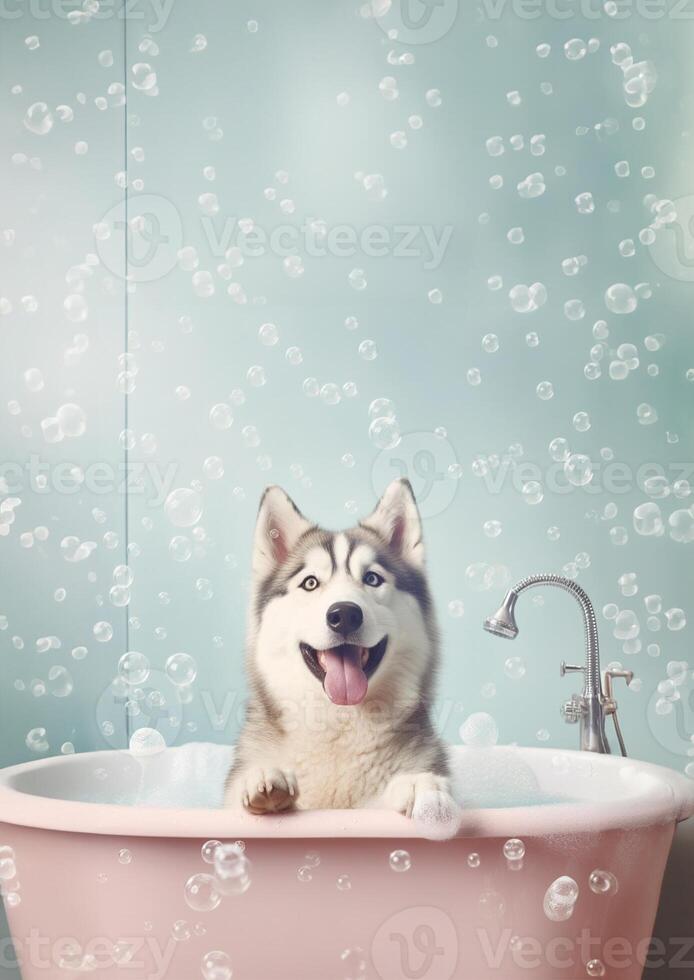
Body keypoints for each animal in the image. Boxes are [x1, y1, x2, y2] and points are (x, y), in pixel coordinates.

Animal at [226, 478, 460, 824]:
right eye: (310, 583)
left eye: (372, 578)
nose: (345, 614)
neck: (340, 723)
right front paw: (264, 778)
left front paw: (419, 785)